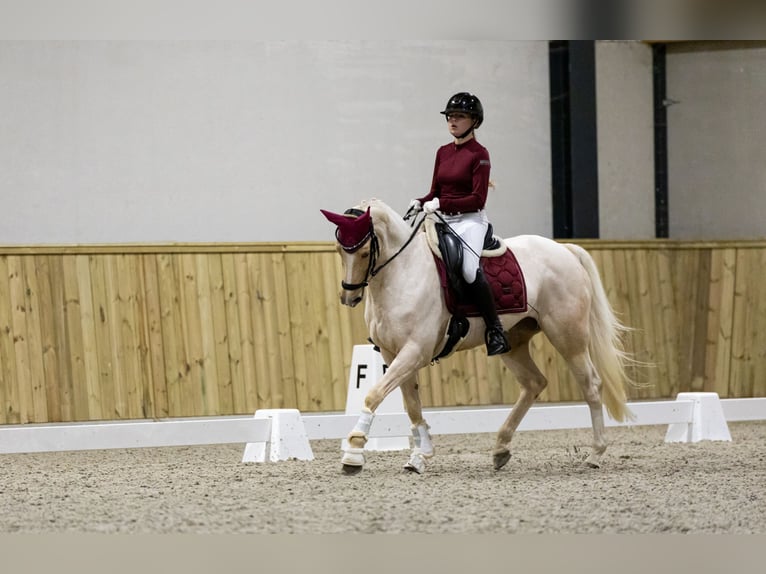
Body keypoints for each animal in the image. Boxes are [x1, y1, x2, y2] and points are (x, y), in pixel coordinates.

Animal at [320, 199, 632, 476]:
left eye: (363, 253)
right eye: (339, 250)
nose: (349, 297)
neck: (403, 272)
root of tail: (563, 249)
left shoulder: (415, 351)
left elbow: (374, 394)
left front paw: (354, 452)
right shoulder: (391, 352)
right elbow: (411, 405)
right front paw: (420, 456)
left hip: (568, 337)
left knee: (591, 385)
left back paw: (595, 454)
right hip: (514, 342)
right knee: (534, 383)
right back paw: (501, 449)